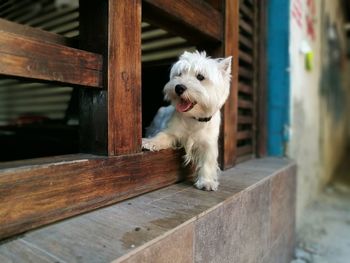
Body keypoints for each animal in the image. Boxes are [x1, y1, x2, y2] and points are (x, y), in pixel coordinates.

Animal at [142, 51, 232, 192]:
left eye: (200, 77)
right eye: (179, 74)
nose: (179, 87)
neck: (193, 118)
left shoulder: (208, 142)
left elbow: (208, 160)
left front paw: (206, 182)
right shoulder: (171, 132)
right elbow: (161, 136)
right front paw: (150, 142)